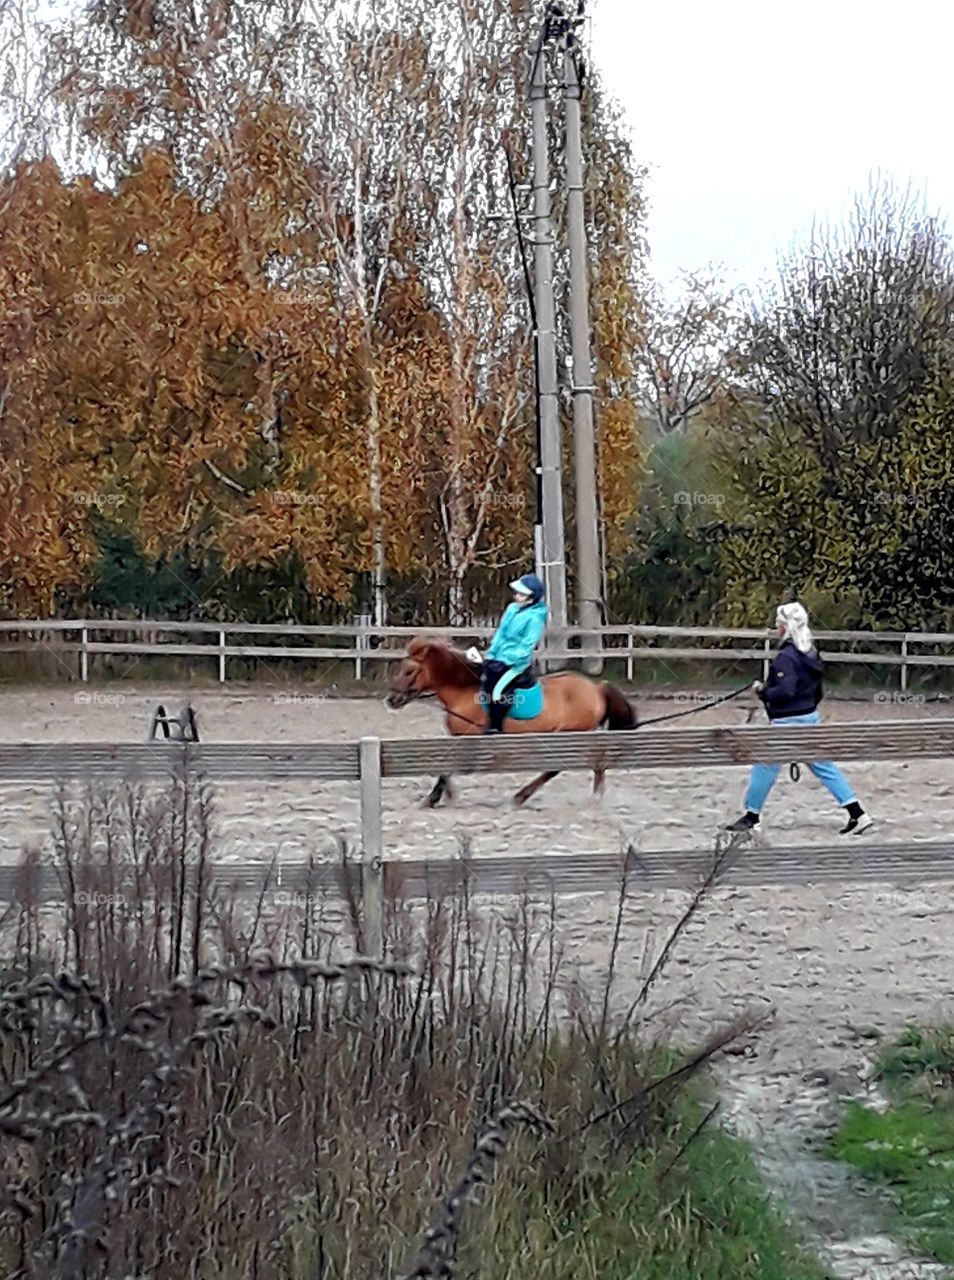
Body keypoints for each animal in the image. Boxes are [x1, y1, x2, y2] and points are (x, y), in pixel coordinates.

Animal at [384, 634, 635, 803]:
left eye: (409, 671)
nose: (391, 699)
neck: (464, 690)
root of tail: (596, 688)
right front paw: (444, 794)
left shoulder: (467, 736)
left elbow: (451, 766)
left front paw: (433, 798)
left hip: (571, 734)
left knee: (560, 767)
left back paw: (523, 796)